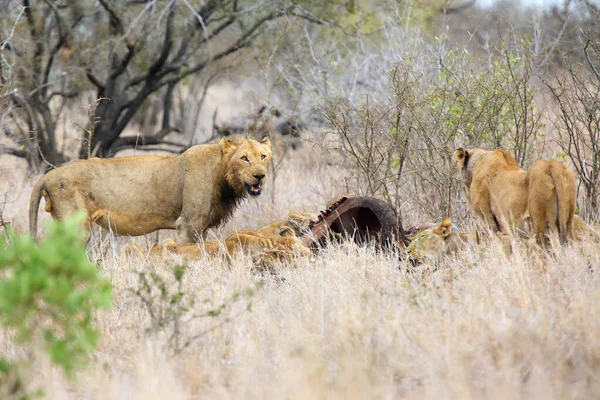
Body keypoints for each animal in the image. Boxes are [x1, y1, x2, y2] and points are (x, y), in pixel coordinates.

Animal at [29, 136, 270, 242]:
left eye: (263, 156)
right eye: (244, 158)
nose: (260, 175)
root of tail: (49, 175)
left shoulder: (202, 227)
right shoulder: (187, 224)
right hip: (76, 227)